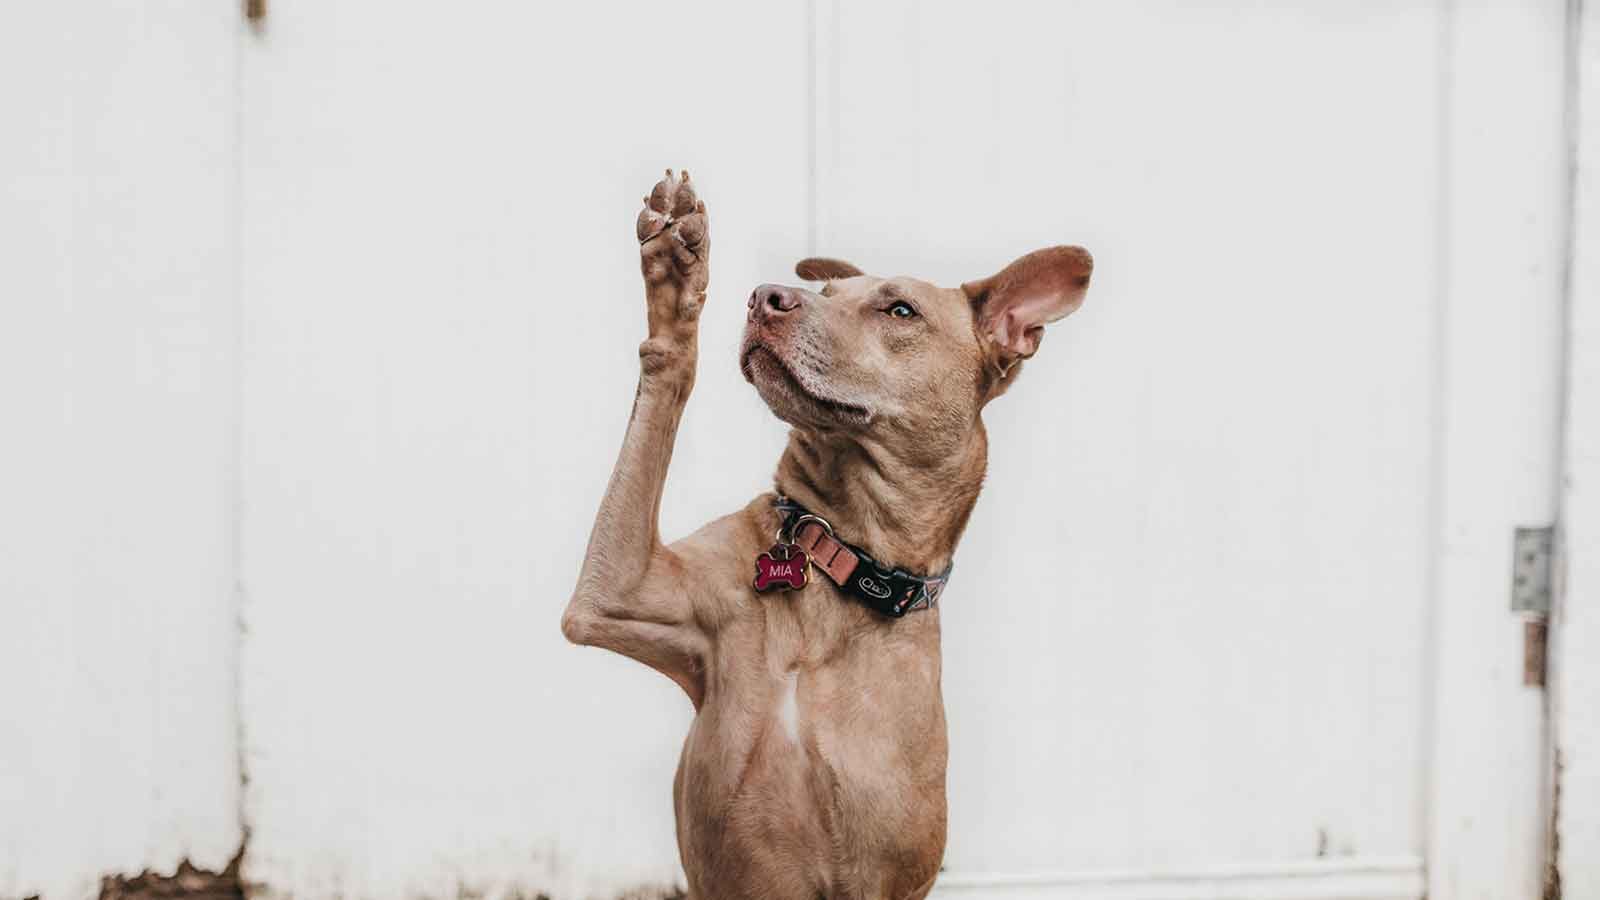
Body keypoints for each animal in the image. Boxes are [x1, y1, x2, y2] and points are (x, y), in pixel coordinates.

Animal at [560, 169, 1088, 896]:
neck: (838, 556)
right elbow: (666, 373)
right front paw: (675, 277)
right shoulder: (614, 592)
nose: (765, 296)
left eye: (900, 311)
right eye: (828, 292)